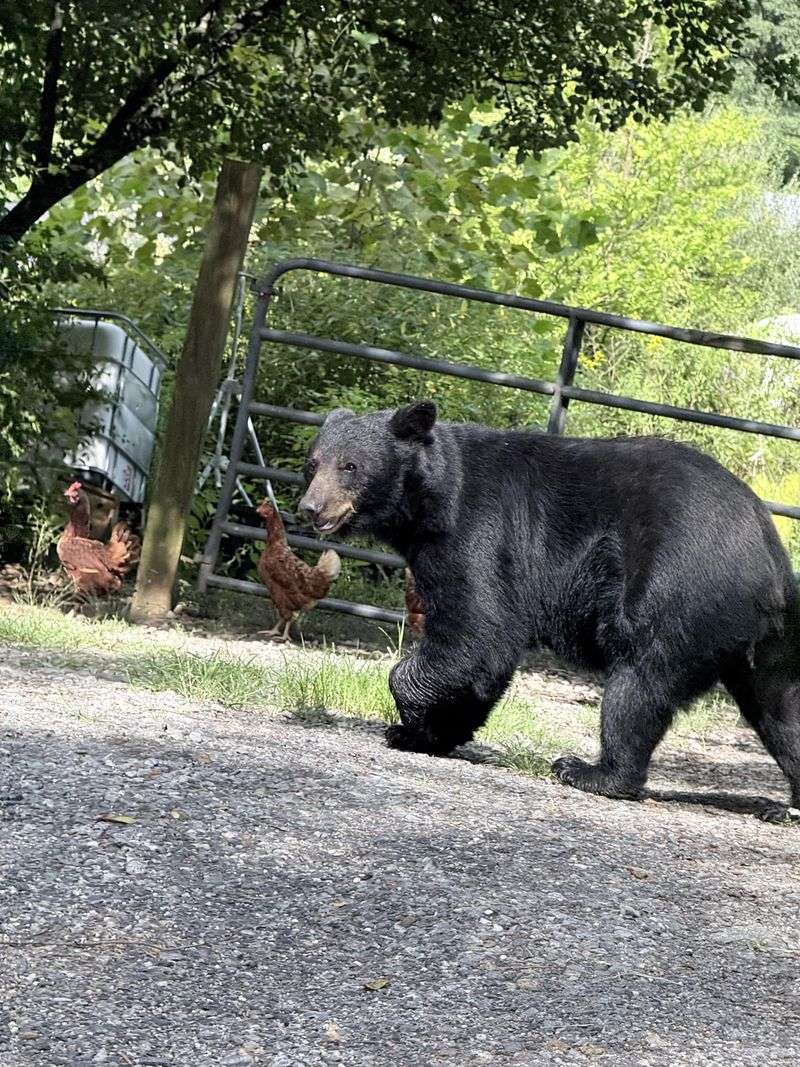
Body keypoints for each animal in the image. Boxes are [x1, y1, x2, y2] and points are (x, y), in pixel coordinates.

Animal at [299, 400, 800, 820]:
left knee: (638, 683)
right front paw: (439, 732)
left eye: (351, 465)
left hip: (674, 589)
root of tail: (767, 554)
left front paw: (408, 727)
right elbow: (483, 659)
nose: (310, 508)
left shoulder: (477, 532)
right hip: (766, 640)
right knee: (781, 706)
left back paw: (591, 771)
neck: (431, 502)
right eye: (313, 463)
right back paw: (785, 805)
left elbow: (478, 629)